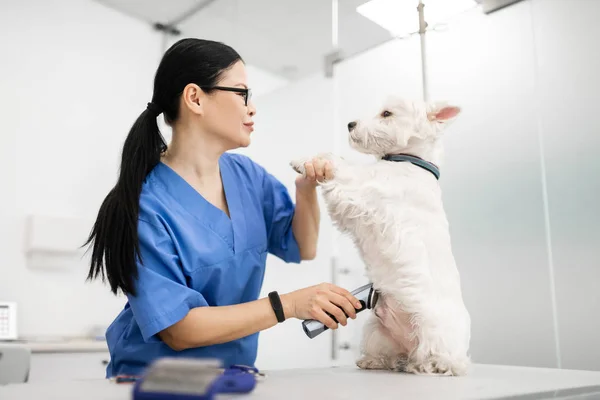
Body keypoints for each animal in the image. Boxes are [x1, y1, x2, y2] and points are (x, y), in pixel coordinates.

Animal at [290, 98, 468, 376]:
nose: (350, 123)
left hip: (433, 331)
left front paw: (303, 160)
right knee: (389, 353)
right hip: (376, 330)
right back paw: (378, 361)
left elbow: (337, 161)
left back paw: (430, 365)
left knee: (443, 358)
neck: (409, 160)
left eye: (387, 113)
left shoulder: (363, 189)